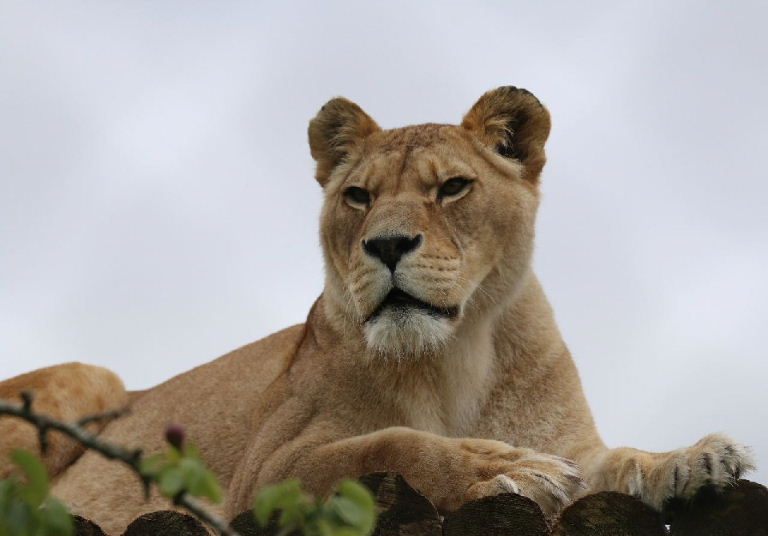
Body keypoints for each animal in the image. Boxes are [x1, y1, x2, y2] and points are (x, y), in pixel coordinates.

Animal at [0, 86, 755, 534]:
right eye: (358, 196)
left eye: (453, 188)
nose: (387, 244)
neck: (456, 357)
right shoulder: (265, 472)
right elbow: (389, 444)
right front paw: (498, 469)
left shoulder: (577, 446)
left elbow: (618, 462)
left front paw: (695, 459)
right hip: (92, 378)